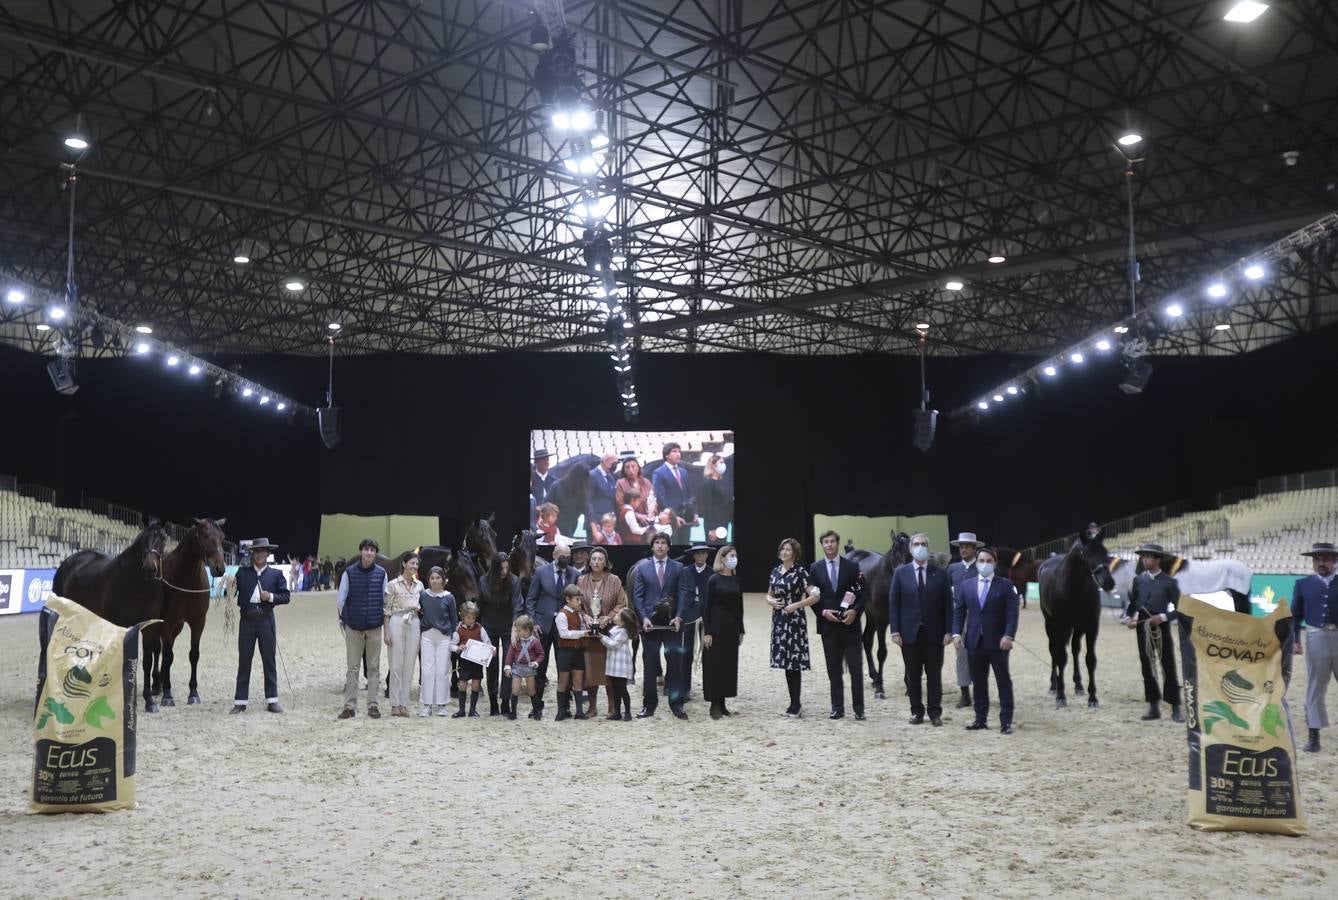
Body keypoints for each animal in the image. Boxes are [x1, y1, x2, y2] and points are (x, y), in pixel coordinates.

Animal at [51, 524, 168, 711]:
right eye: (143, 539)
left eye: (163, 539)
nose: (150, 569)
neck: (139, 586)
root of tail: (68, 562)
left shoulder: (151, 628)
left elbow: (148, 661)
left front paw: (149, 700)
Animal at [157, 516, 228, 706]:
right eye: (205, 535)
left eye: (222, 537)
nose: (220, 568)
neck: (186, 579)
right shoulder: (167, 623)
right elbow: (168, 656)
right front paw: (168, 695)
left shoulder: (198, 622)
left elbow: (193, 655)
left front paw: (194, 693)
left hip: (177, 627)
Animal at [850, 529, 915, 700]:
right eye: (894, 550)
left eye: (911, 554)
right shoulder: (882, 620)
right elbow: (882, 652)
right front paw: (880, 689)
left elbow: (907, 653)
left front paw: (910, 686)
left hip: (870, 615)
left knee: (866, 639)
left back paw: (874, 676)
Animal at [1038, 526, 1113, 711]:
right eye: (1087, 554)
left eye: (1105, 552)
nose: (1108, 582)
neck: (1074, 588)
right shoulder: (1060, 625)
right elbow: (1060, 658)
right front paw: (1061, 696)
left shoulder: (1092, 626)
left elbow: (1090, 660)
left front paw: (1093, 698)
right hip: (1050, 624)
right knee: (1054, 651)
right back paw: (1053, 685)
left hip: (1077, 628)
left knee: (1074, 650)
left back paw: (1078, 685)